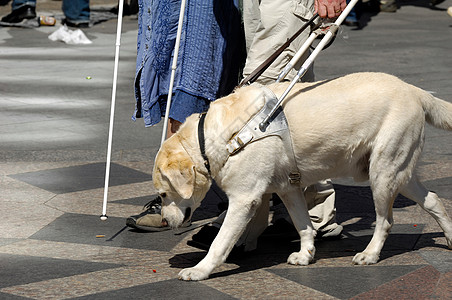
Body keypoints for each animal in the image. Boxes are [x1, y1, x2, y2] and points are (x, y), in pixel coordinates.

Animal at [153, 72, 452, 282]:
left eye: (164, 194)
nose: (165, 221)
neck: (223, 137)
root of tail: (415, 90)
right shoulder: (289, 188)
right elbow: (303, 224)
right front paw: (306, 254)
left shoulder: (244, 199)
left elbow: (219, 243)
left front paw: (200, 270)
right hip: (400, 173)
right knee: (434, 199)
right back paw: (450, 237)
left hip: (383, 173)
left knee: (386, 221)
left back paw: (370, 254)